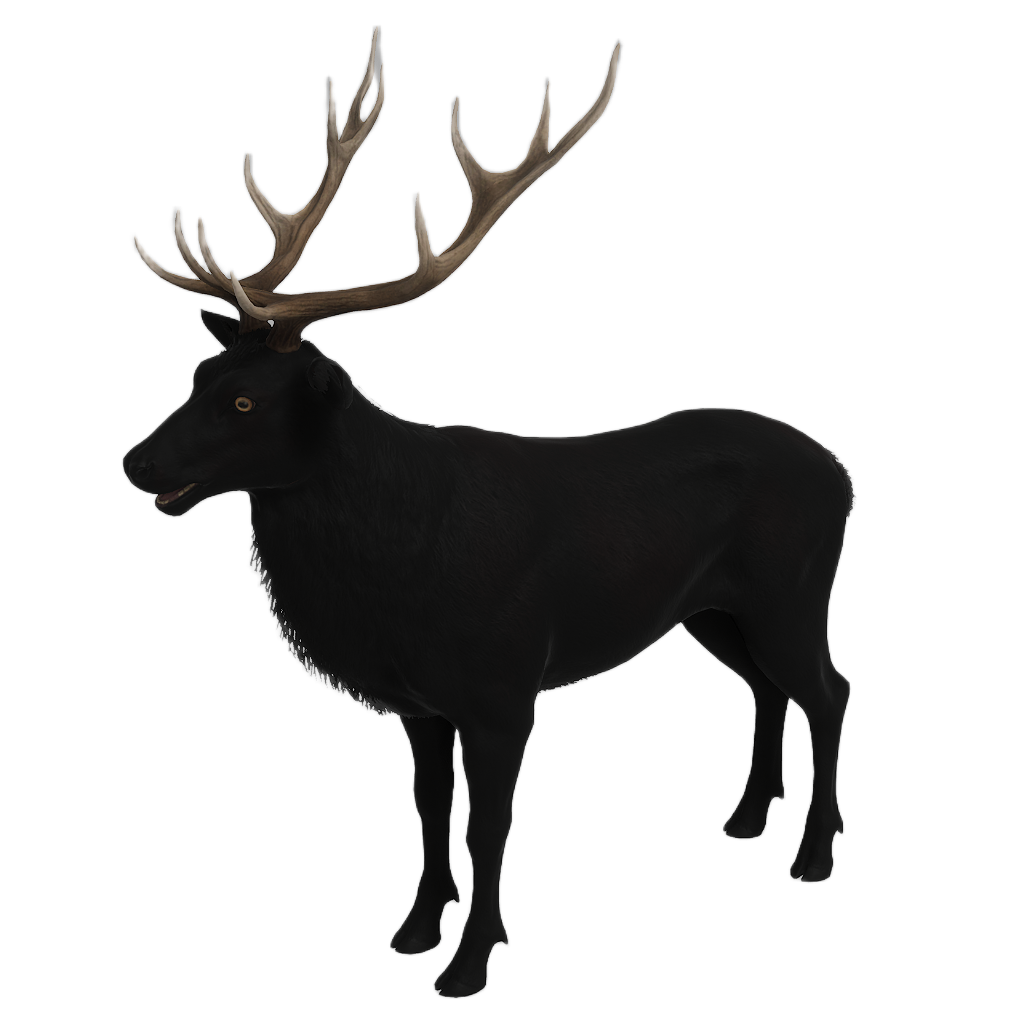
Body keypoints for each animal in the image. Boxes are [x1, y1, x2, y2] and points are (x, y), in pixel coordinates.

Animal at [122, 24, 855, 999]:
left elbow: (489, 822)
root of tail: (846, 475)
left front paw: (471, 960)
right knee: (767, 688)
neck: (392, 576)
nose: (136, 462)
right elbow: (430, 810)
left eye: (244, 402)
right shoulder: (418, 701)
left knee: (827, 689)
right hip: (711, 610)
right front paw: (414, 929)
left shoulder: (505, 686)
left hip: (793, 589)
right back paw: (743, 819)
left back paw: (813, 854)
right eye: (198, 375)